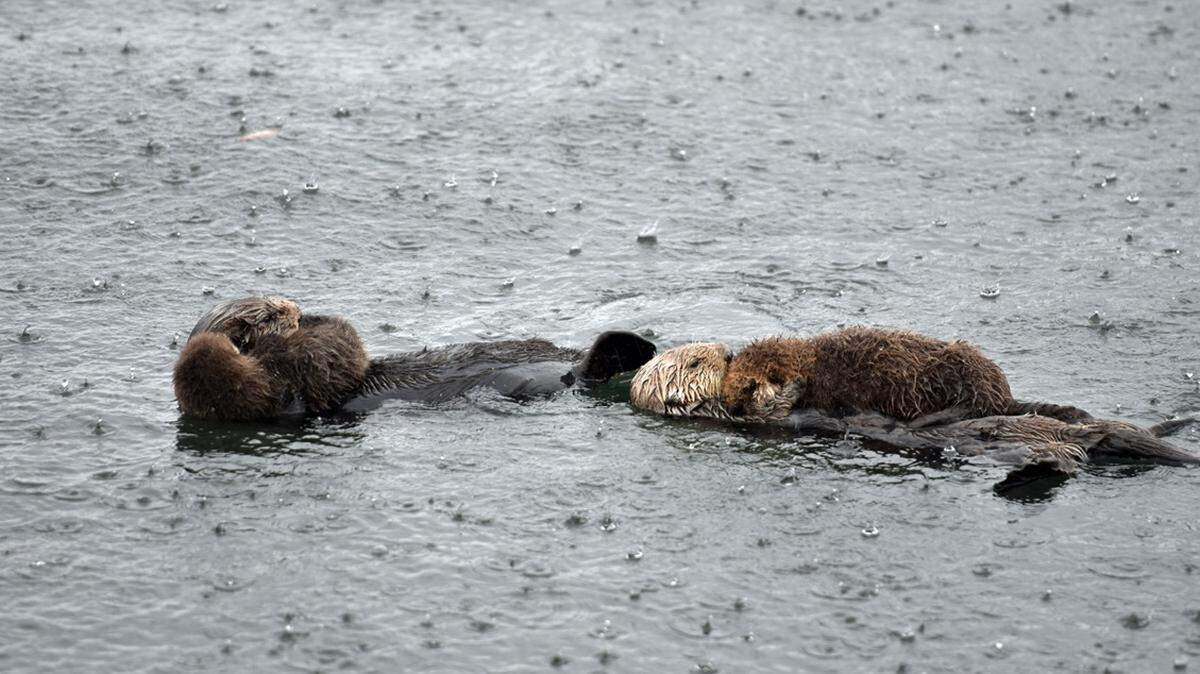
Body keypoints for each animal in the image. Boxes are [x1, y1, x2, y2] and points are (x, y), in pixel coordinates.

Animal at [175, 296, 657, 421]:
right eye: (271, 314)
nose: (294, 307)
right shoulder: (291, 390)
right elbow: (338, 351)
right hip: (555, 380)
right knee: (587, 373)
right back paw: (634, 349)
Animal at [719, 327, 1091, 424]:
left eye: (749, 388)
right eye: (729, 391)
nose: (733, 408)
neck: (813, 365)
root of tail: (1004, 394)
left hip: (964, 378)